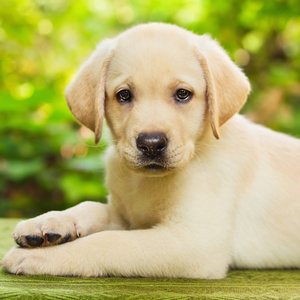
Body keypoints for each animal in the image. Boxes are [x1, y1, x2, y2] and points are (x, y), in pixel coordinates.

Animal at [2, 23, 300, 278]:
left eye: (183, 94)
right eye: (124, 95)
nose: (151, 144)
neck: (144, 183)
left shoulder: (195, 242)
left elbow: (109, 242)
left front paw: (43, 257)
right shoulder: (127, 215)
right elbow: (92, 207)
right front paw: (48, 221)